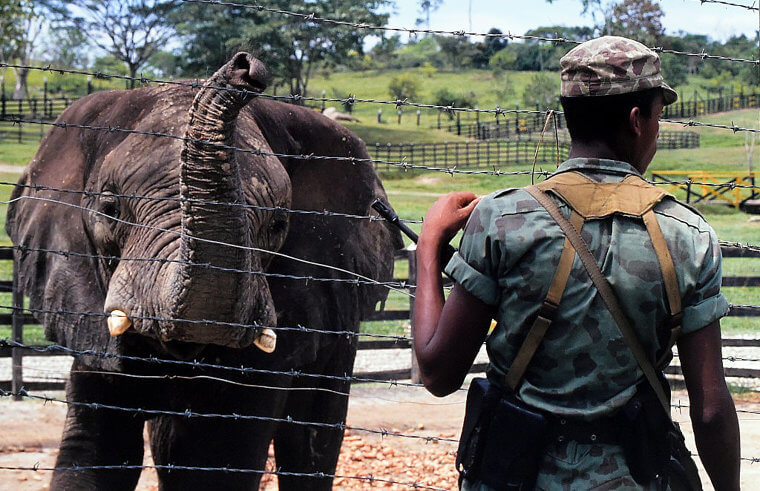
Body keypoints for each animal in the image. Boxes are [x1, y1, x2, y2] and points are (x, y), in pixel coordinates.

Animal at [6, 52, 402, 490]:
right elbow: (96, 447)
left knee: (312, 435)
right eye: (109, 209)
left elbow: (213, 452)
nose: (245, 66)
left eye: (279, 223)